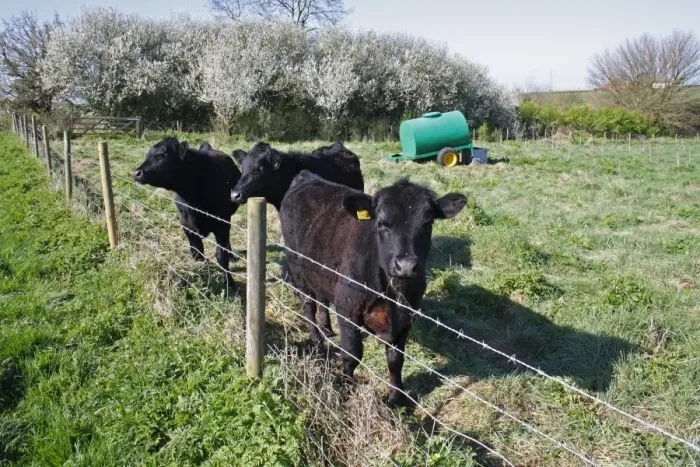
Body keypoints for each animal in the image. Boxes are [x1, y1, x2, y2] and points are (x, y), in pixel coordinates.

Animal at [131, 138, 241, 286]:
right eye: (147, 155)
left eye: (164, 155)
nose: (136, 173)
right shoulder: (187, 226)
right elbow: (197, 254)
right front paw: (202, 277)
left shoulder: (221, 223)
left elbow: (221, 255)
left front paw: (230, 284)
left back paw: (232, 257)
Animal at [280, 170, 467, 406]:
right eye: (381, 223)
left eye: (428, 222)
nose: (406, 265)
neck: (391, 293)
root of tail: (307, 177)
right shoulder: (347, 309)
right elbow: (352, 354)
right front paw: (347, 387)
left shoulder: (405, 318)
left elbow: (396, 360)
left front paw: (396, 397)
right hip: (297, 266)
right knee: (308, 305)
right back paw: (316, 340)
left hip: (320, 273)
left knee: (321, 299)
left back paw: (327, 329)